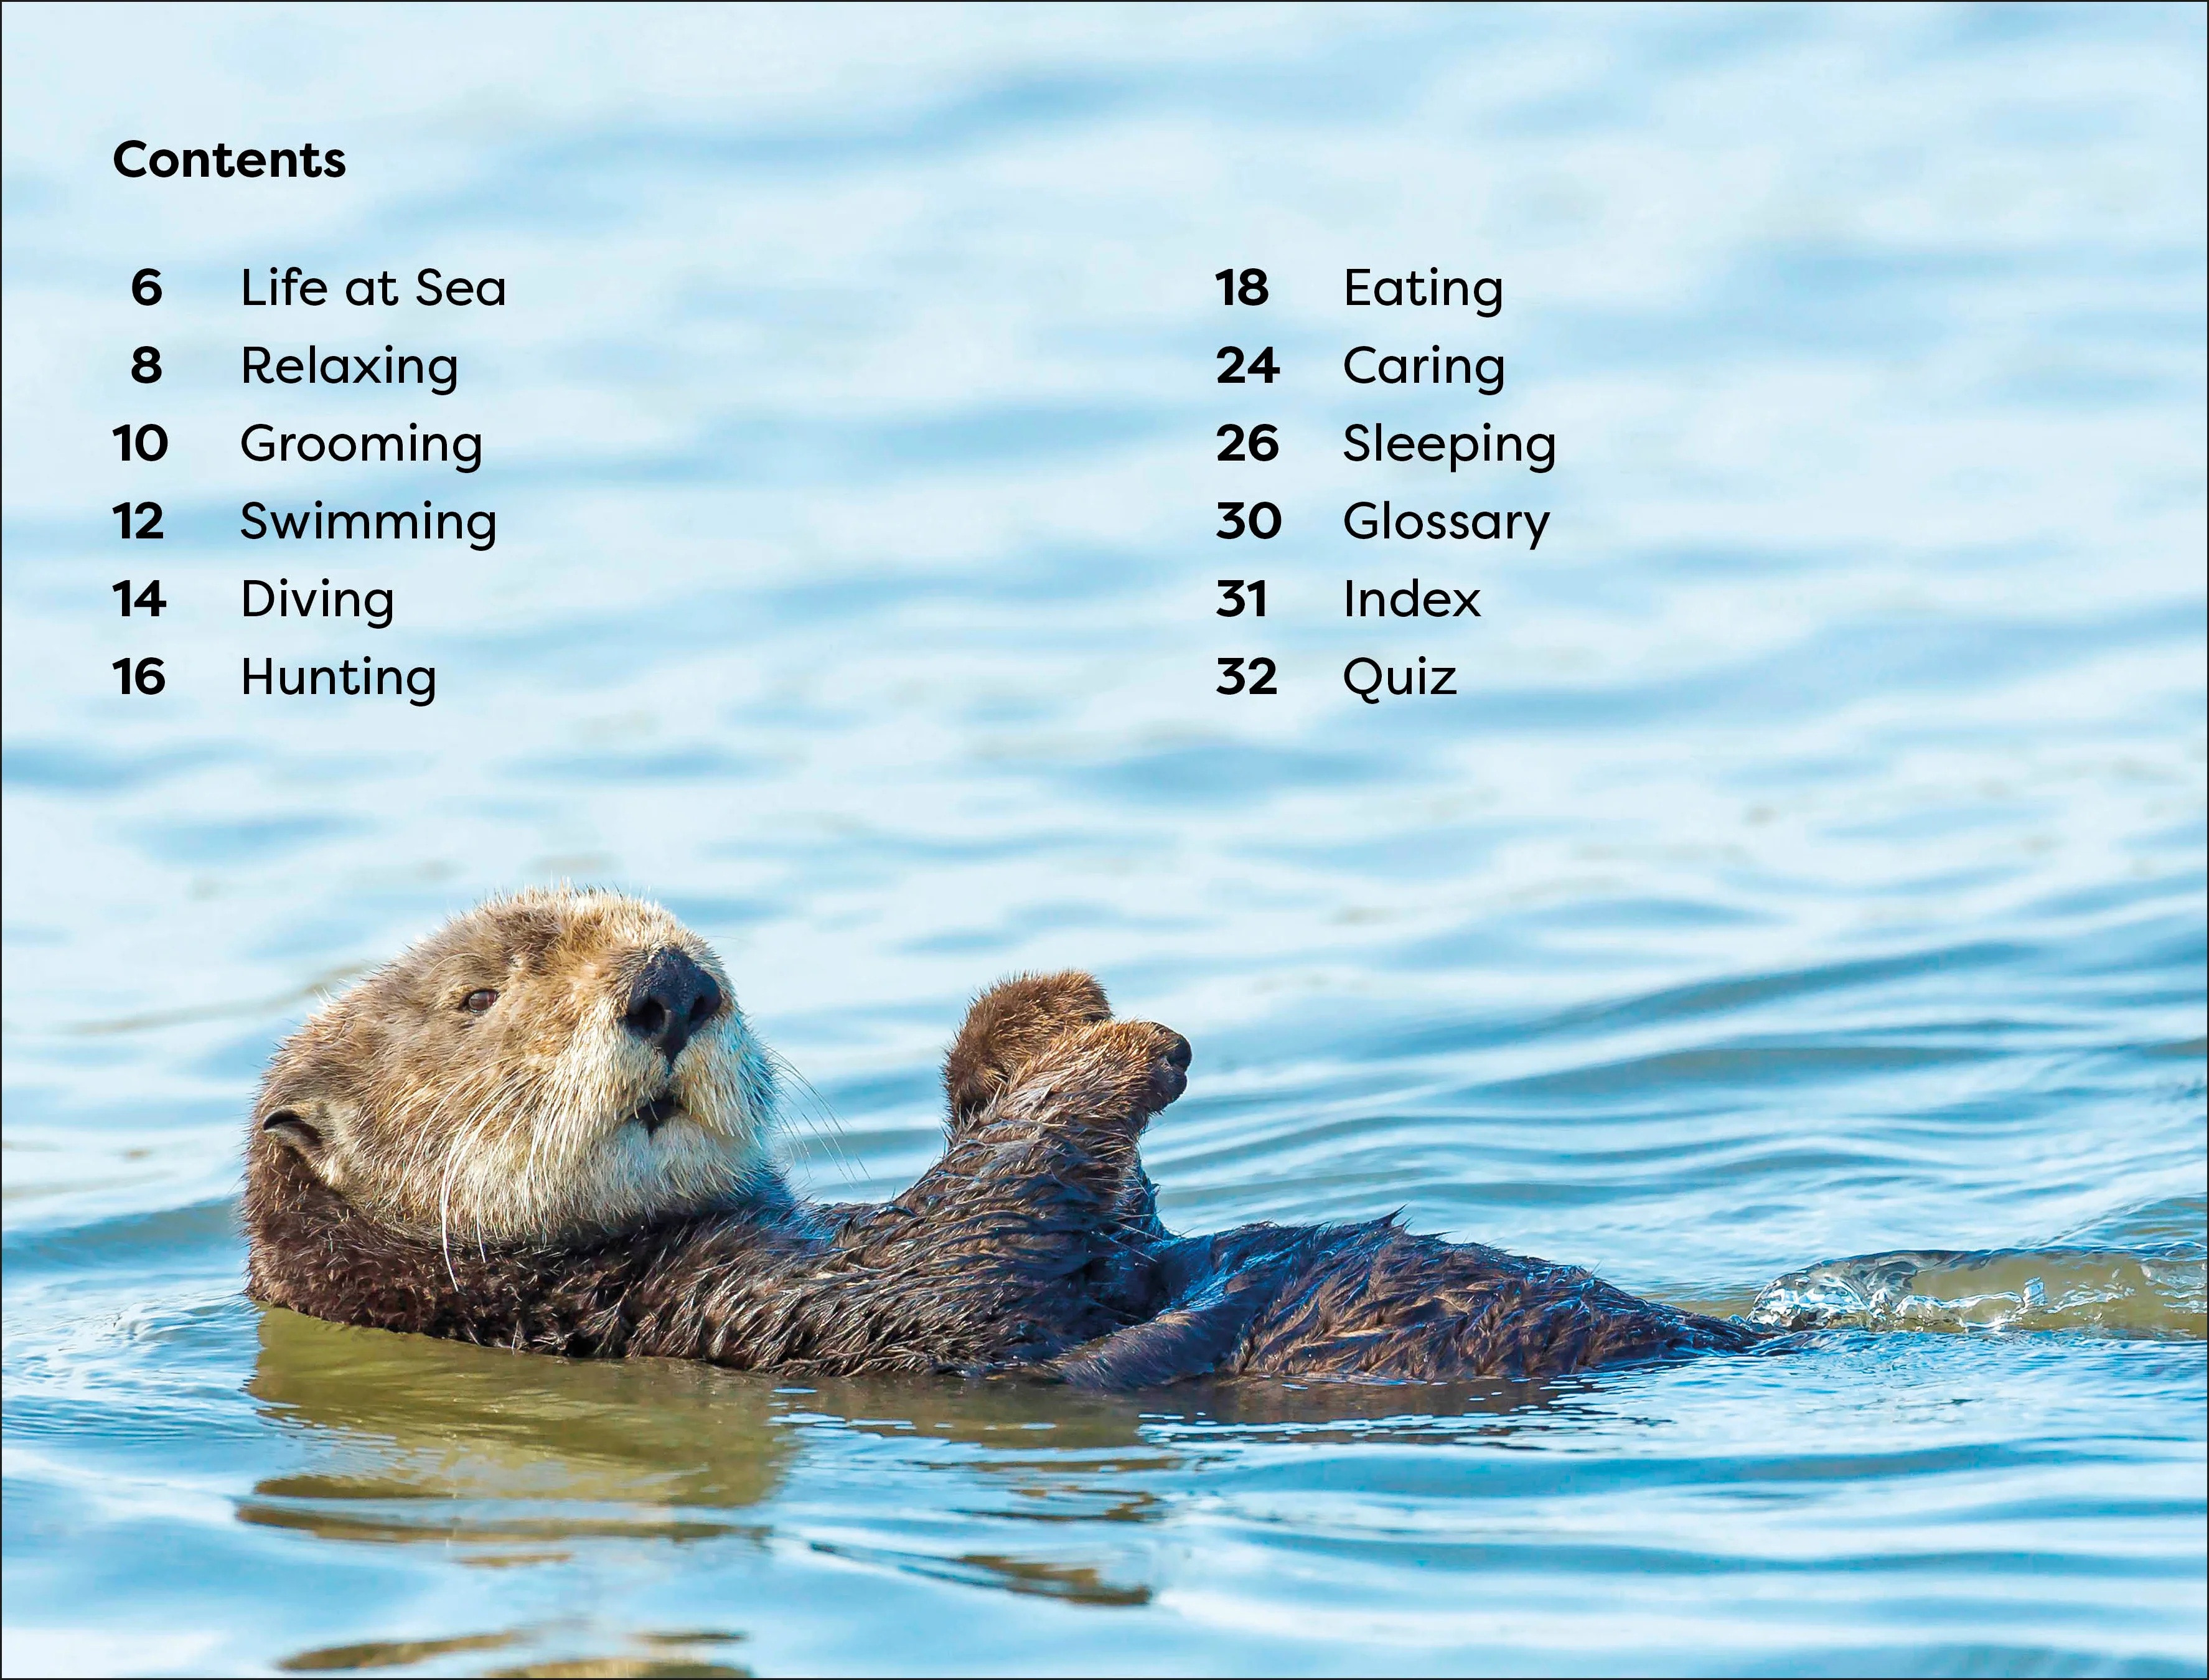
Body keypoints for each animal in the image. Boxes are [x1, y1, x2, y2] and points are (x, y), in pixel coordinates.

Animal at [244, 888, 1767, 1385]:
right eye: (477, 996)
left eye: (697, 941)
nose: (674, 981)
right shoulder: (782, 1312)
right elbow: (990, 1227)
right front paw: (1123, 1043)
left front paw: (1043, 1007)